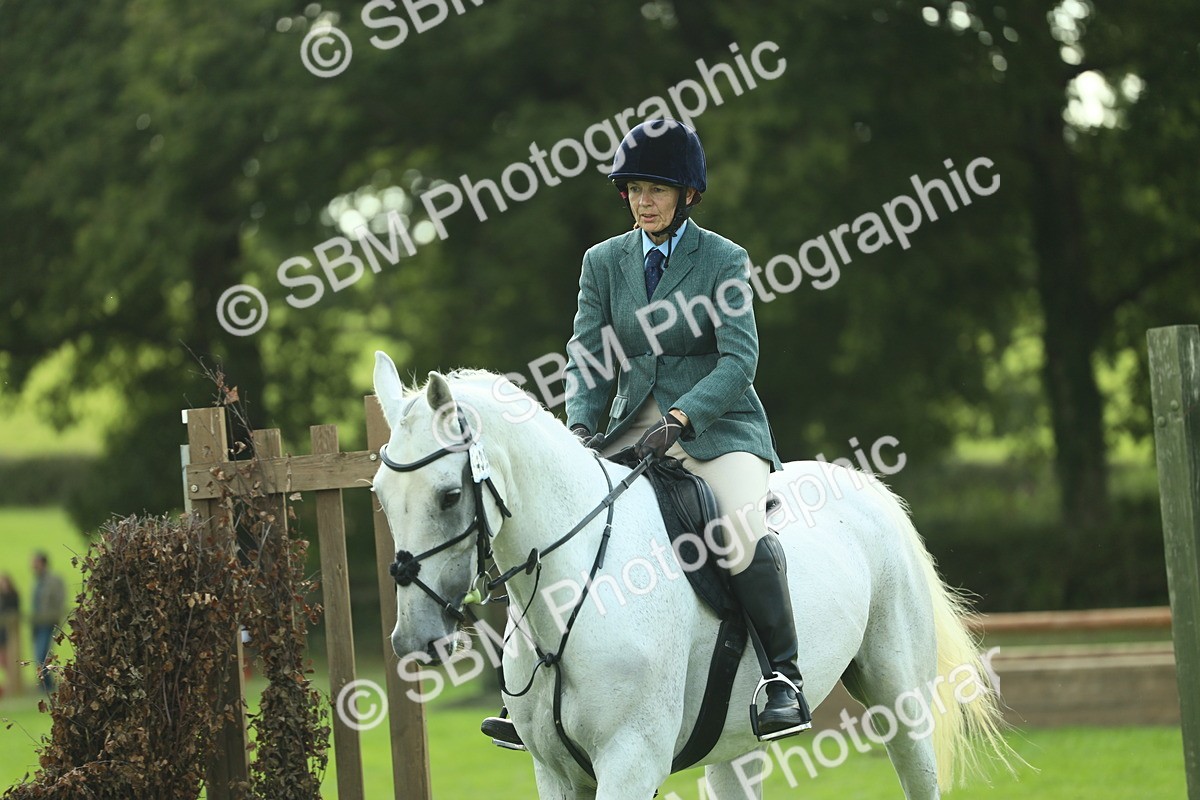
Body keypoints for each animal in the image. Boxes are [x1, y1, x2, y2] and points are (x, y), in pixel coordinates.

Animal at [370, 352, 1015, 799]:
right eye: (379, 495)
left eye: (450, 495)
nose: (413, 641)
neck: (573, 594)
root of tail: (865, 487)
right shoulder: (555, 773)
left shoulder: (630, 762)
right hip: (736, 741)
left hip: (900, 701)